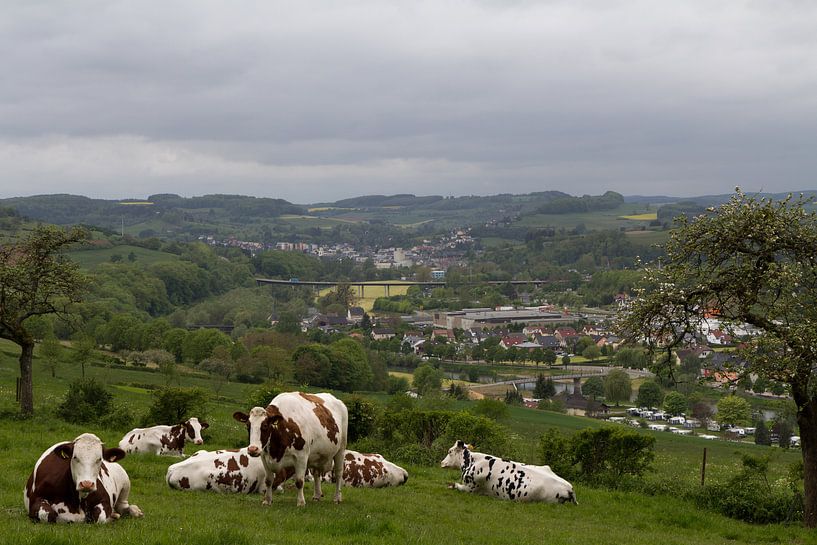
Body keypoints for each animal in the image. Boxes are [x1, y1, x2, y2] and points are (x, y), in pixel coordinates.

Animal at [440, 440, 572, 504]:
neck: (472, 462)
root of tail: (569, 488)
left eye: (450, 451)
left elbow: (455, 485)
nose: (442, 462)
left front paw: (450, 485)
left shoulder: (470, 488)